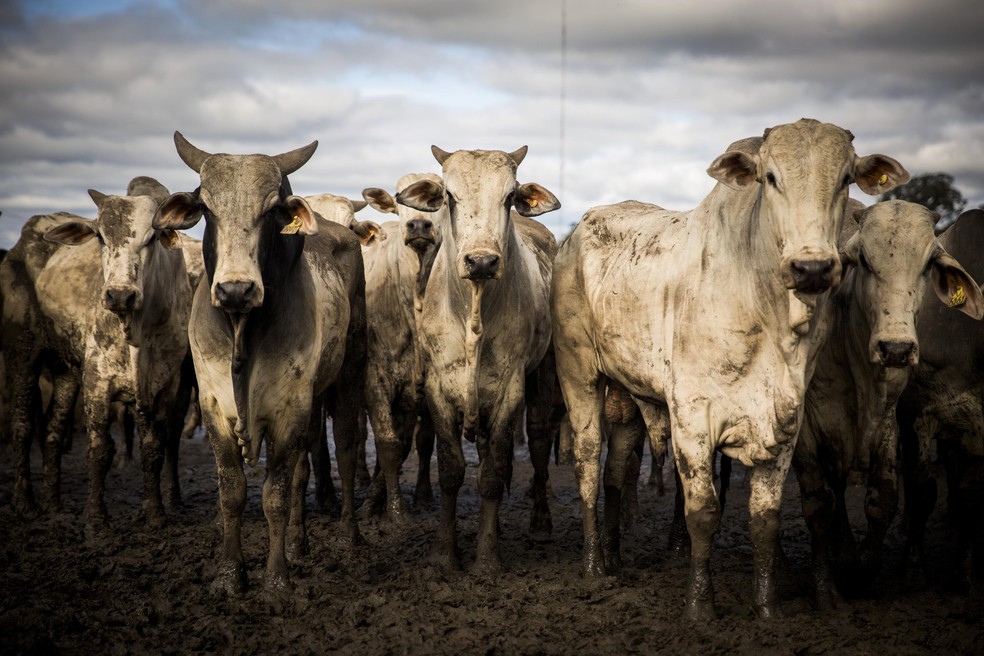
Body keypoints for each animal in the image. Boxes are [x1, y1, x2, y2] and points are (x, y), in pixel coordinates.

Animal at [548, 119, 912, 620]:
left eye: (845, 179)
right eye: (770, 178)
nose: (813, 267)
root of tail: (575, 233)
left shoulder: (786, 422)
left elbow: (765, 519)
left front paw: (767, 607)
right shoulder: (692, 417)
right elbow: (703, 512)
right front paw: (701, 606)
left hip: (626, 394)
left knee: (616, 470)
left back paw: (615, 555)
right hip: (579, 375)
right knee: (586, 465)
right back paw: (594, 565)